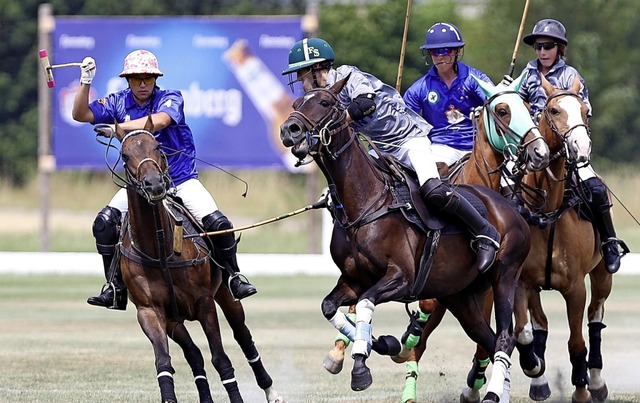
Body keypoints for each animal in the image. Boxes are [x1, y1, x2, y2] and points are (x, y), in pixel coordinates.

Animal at [97, 122, 282, 403]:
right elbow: (164, 361)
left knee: (243, 336)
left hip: (225, 295)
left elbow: (221, 359)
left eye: (158, 147)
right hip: (175, 320)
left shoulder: (205, 303)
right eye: (125, 155)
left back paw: (271, 391)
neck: (160, 248)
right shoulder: (150, 312)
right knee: (193, 354)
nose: (154, 185)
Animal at [278, 76, 528, 403]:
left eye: (324, 102)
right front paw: (383, 344)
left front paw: (361, 367)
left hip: (505, 275)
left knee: (505, 337)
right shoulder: (354, 279)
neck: (364, 203)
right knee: (489, 338)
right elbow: (330, 307)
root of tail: (512, 208)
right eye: (296, 103)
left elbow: (367, 303)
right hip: (460, 295)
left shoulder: (402, 278)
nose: (288, 130)